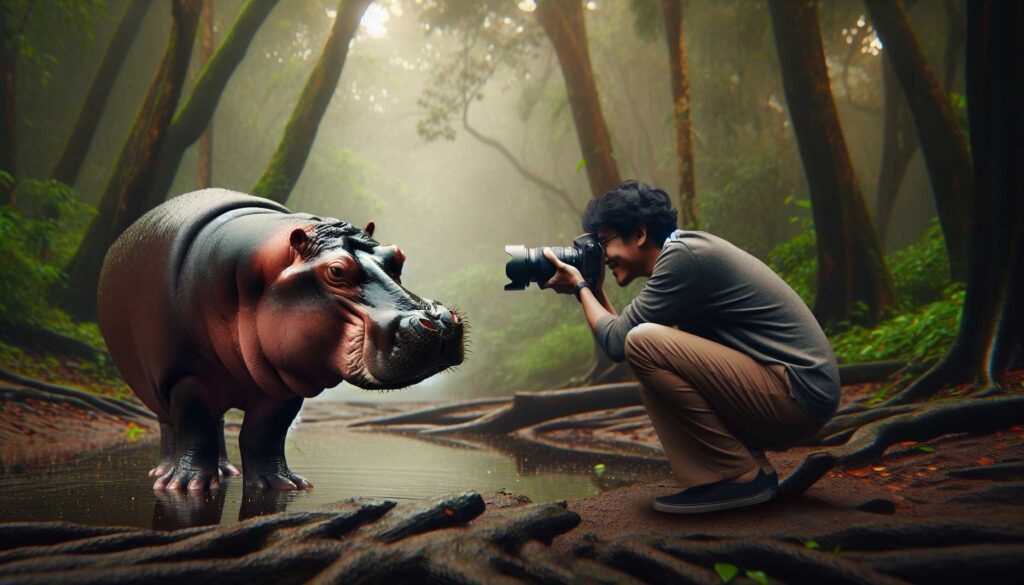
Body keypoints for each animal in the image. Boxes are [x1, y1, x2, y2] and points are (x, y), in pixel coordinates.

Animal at [98, 189, 465, 491]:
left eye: (397, 256)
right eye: (336, 271)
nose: (439, 321)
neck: (256, 276)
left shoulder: (286, 377)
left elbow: (266, 433)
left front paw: (282, 484)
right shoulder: (185, 375)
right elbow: (194, 426)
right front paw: (187, 488)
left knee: (217, 422)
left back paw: (226, 471)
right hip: (154, 383)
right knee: (173, 424)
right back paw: (164, 473)